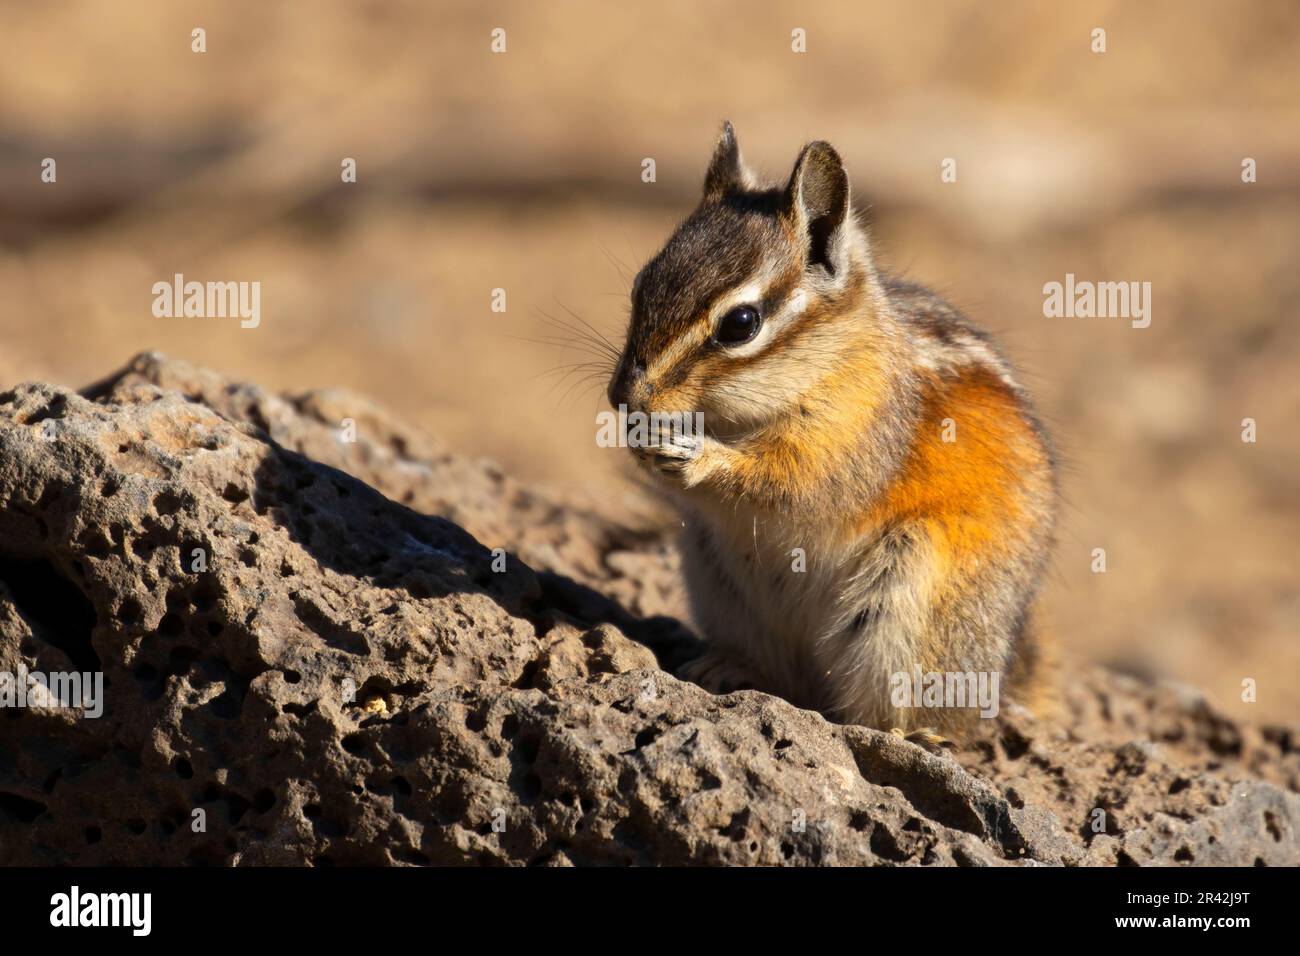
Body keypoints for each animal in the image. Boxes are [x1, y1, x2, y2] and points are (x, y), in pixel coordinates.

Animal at [607, 122, 1058, 742]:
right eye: (639, 285)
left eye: (741, 324)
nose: (624, 398)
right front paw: (637, 437)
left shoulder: (855, 440)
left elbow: (795, 484)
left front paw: (700, 459)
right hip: (717, 579)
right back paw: (730, 666)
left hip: (910, 598)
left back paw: (911, 734)